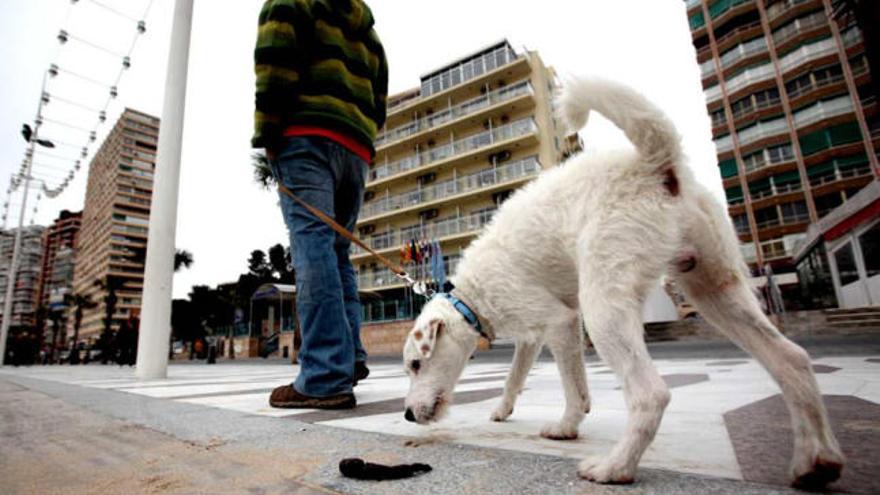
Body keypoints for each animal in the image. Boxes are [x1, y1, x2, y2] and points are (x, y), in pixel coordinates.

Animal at [400, 78, 844, 488]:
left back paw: (616, 467)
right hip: (715, 291)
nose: (405, 414)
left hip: (604, 309)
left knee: (650, 394)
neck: (469, 297)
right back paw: (815, 461)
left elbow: (573, 386)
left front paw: (567, 426)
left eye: (416, 364)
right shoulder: (532, 336)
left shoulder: (560, 321)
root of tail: (656, 163)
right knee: (791, 360)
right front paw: (504, 408)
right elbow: (515, 375)